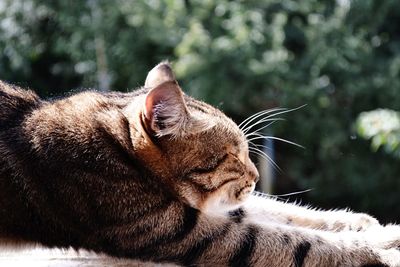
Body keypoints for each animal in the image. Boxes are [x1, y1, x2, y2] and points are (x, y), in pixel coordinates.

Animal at [0, 61, 400, 266]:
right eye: (233, 156)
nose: (257, 175)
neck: (116, 145)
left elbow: (282, 212)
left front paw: (363, 224)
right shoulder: (178, 228)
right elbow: (297, 241)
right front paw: (378, 249)